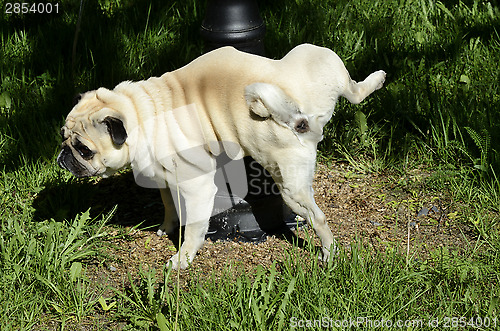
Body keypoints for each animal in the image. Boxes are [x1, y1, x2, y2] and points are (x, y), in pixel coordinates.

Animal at [58, 44, 386, 270]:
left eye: (84, 150)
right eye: (62, 136)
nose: (63, 155)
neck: (141, 112)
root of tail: (302, 116)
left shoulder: (196, 187)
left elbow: (193, 227)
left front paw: (183, 259)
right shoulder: (166, 181)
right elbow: (169, 207)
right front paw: (166, 227)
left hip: (292, 189)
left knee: (319, 217)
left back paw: (328, 254)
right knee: (354, 91)